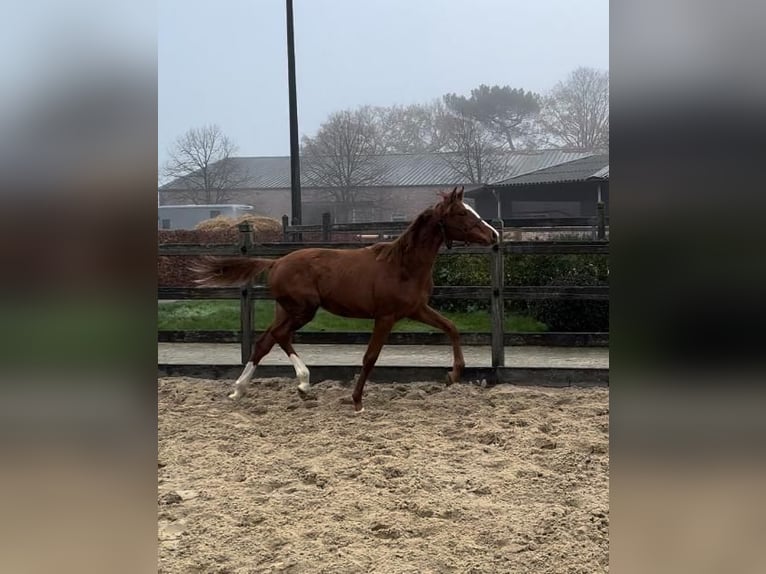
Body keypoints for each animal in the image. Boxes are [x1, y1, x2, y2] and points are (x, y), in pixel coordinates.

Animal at [192, 186, 499, 412]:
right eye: (462, 212)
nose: (494, 235)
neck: (403, 265)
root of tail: (276, 261)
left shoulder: (417, 310)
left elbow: (452, 328)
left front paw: (453, 375)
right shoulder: (386, 316)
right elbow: (370, 357)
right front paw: (357, 400)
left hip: (287, 310)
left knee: (265, 341)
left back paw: (241, 390)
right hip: (303, 310)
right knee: (278, 336)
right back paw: (302, 384)